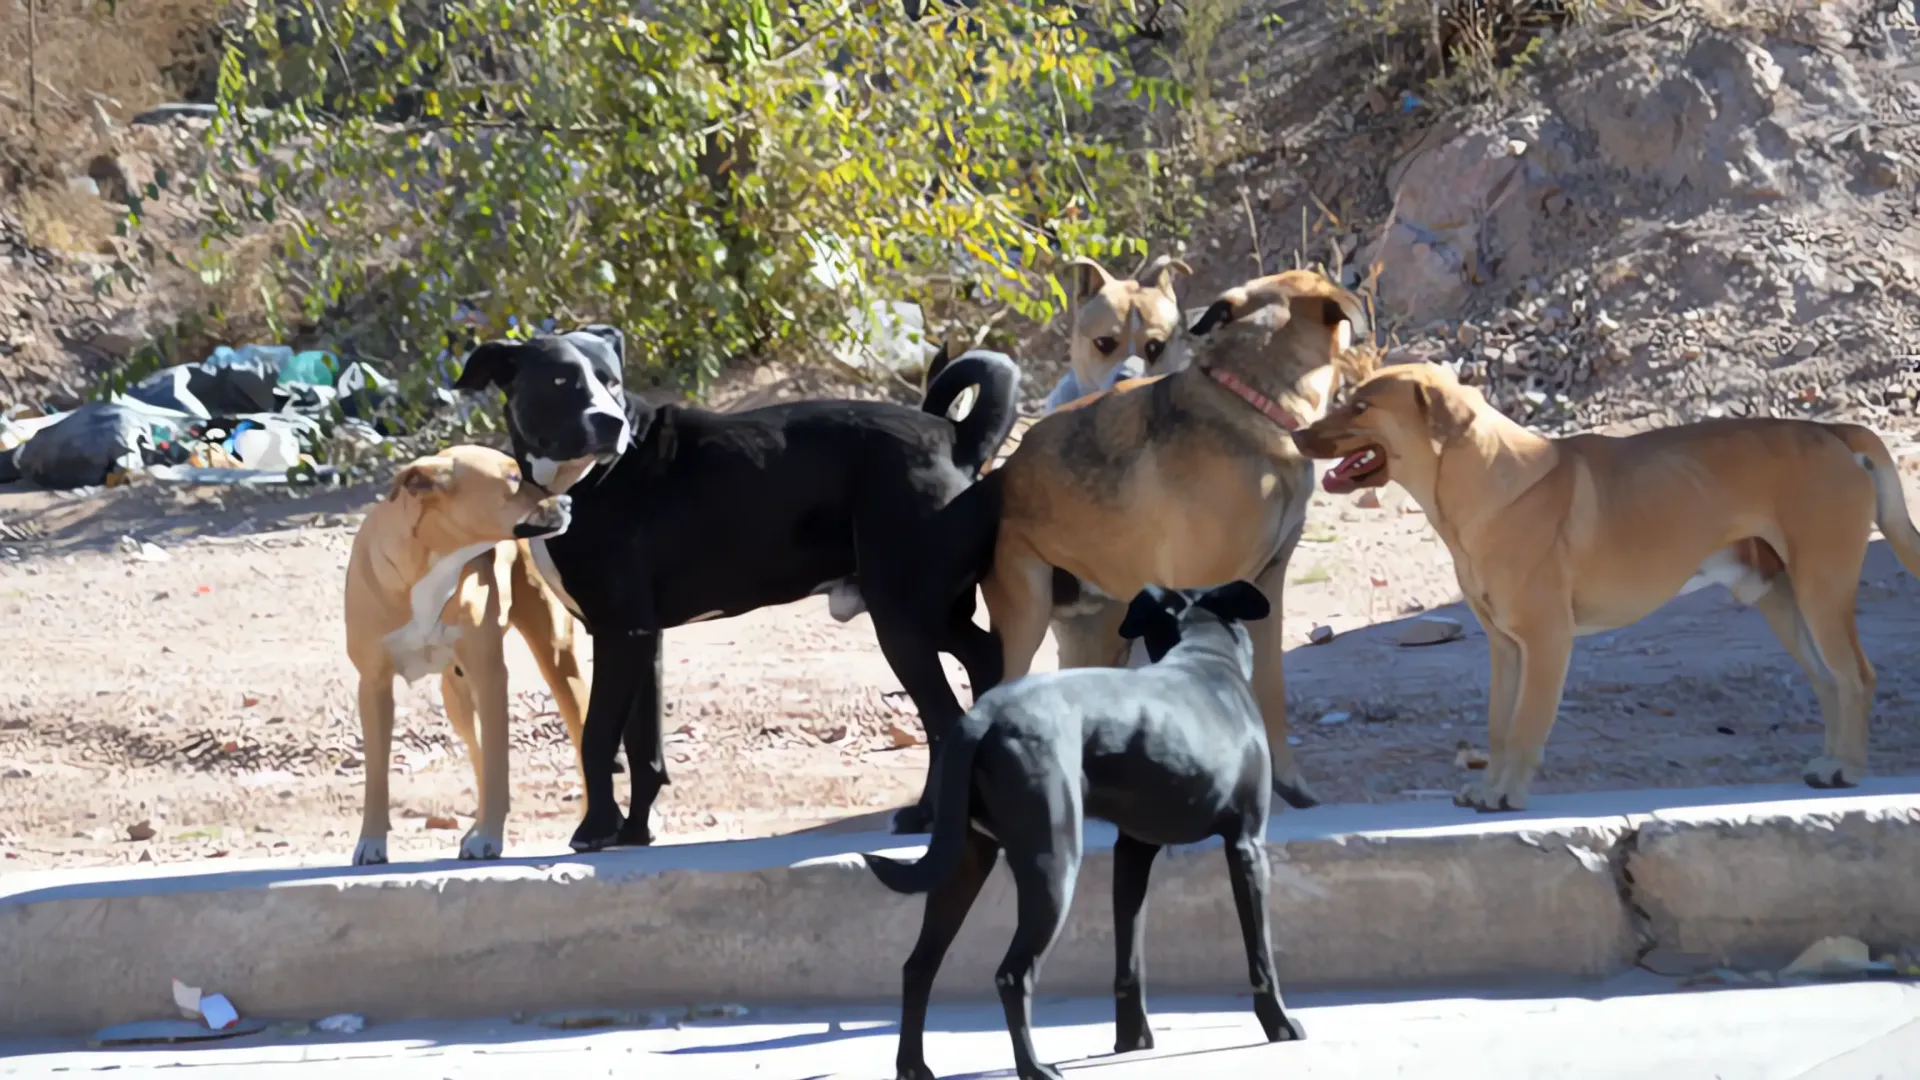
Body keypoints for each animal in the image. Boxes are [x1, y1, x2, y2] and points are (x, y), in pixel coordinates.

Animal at [343, 443, 583, 857]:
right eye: (513, 478)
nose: (567, 502)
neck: (433, 568)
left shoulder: (490, 675)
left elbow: (498, 764)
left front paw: (490, 835)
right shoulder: (373, 685)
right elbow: (376, 775)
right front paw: (370, 842)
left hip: (555, 658)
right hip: (456, 698)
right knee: (476, 750)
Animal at [455, 322, 1021, 845]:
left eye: (610, 381)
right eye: (560, 381)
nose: (609, 422)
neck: (588, 478)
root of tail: (954, 438)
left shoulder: (619, 633)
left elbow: (597, 737)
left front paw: (595, 830)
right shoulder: (641, 637)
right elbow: (642, 746)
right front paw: (635, 833)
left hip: (901, 615)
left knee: (943, 718)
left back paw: (927, 816)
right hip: (929, 610)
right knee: (983, 658)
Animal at [867, 580, 1305, 1076]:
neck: (1203, 655)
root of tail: (981, 719)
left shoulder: (1132, 853)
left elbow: (1129, 957)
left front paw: (1131, 1039)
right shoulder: (1247, 847)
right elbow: (1260, 953)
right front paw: (1279, 1024)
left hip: (964, 862)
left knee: (919, 965)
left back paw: (912, 1065)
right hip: (1053, 866)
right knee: (1012, 974)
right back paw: (1033, 1067)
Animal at [983, 270, 1374, 807]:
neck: (1251, 401)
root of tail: (1001, 474)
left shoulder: (1267, 590)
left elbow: (1270, 689)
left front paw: (1289, 785)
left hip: (1098, 634)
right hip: (1026, 616)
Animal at [1282, 361, 1920, 807]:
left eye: (1360, 406)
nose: (1296, 435)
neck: (1484, 484)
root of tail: (1833, 430)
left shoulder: (1545, 642)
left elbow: (1524, 725)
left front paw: (1504, 795)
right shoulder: (1504, 647)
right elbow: (1498, 725)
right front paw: (1486, 788)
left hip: (1821, 589)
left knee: (1856, 676)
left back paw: (1849, 770)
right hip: (1783, 603)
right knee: (1830, 681)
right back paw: (1830, 765)